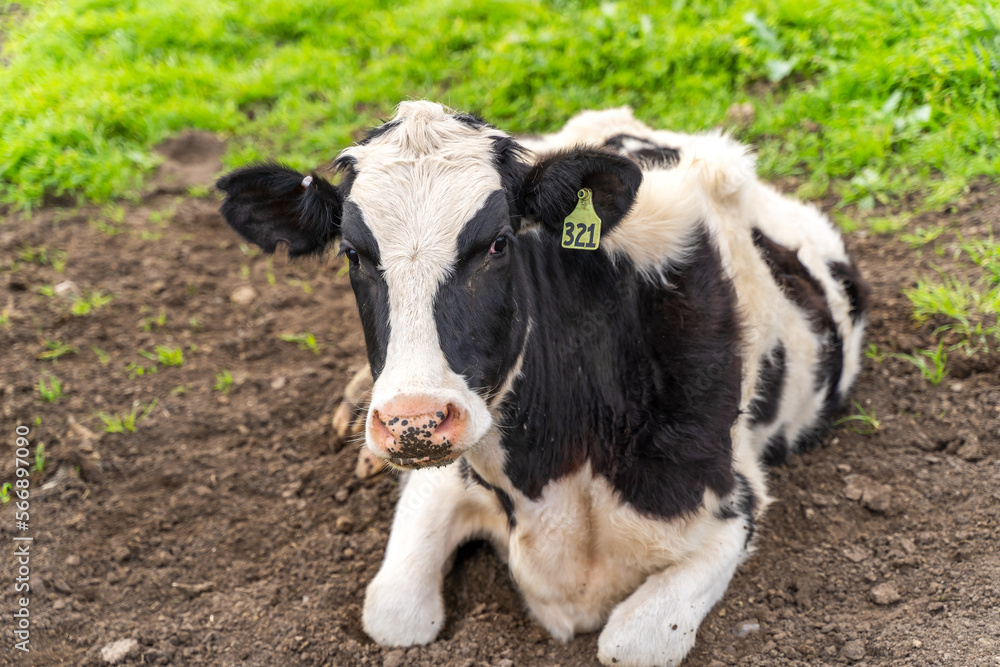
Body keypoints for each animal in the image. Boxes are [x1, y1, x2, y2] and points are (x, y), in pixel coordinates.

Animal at [217, 100, 868, 667]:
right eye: (352, 253)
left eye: (499, 243)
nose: (413, 423)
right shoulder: (446, 473)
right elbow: (395, 615)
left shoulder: (732, 503)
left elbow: (629, 643)